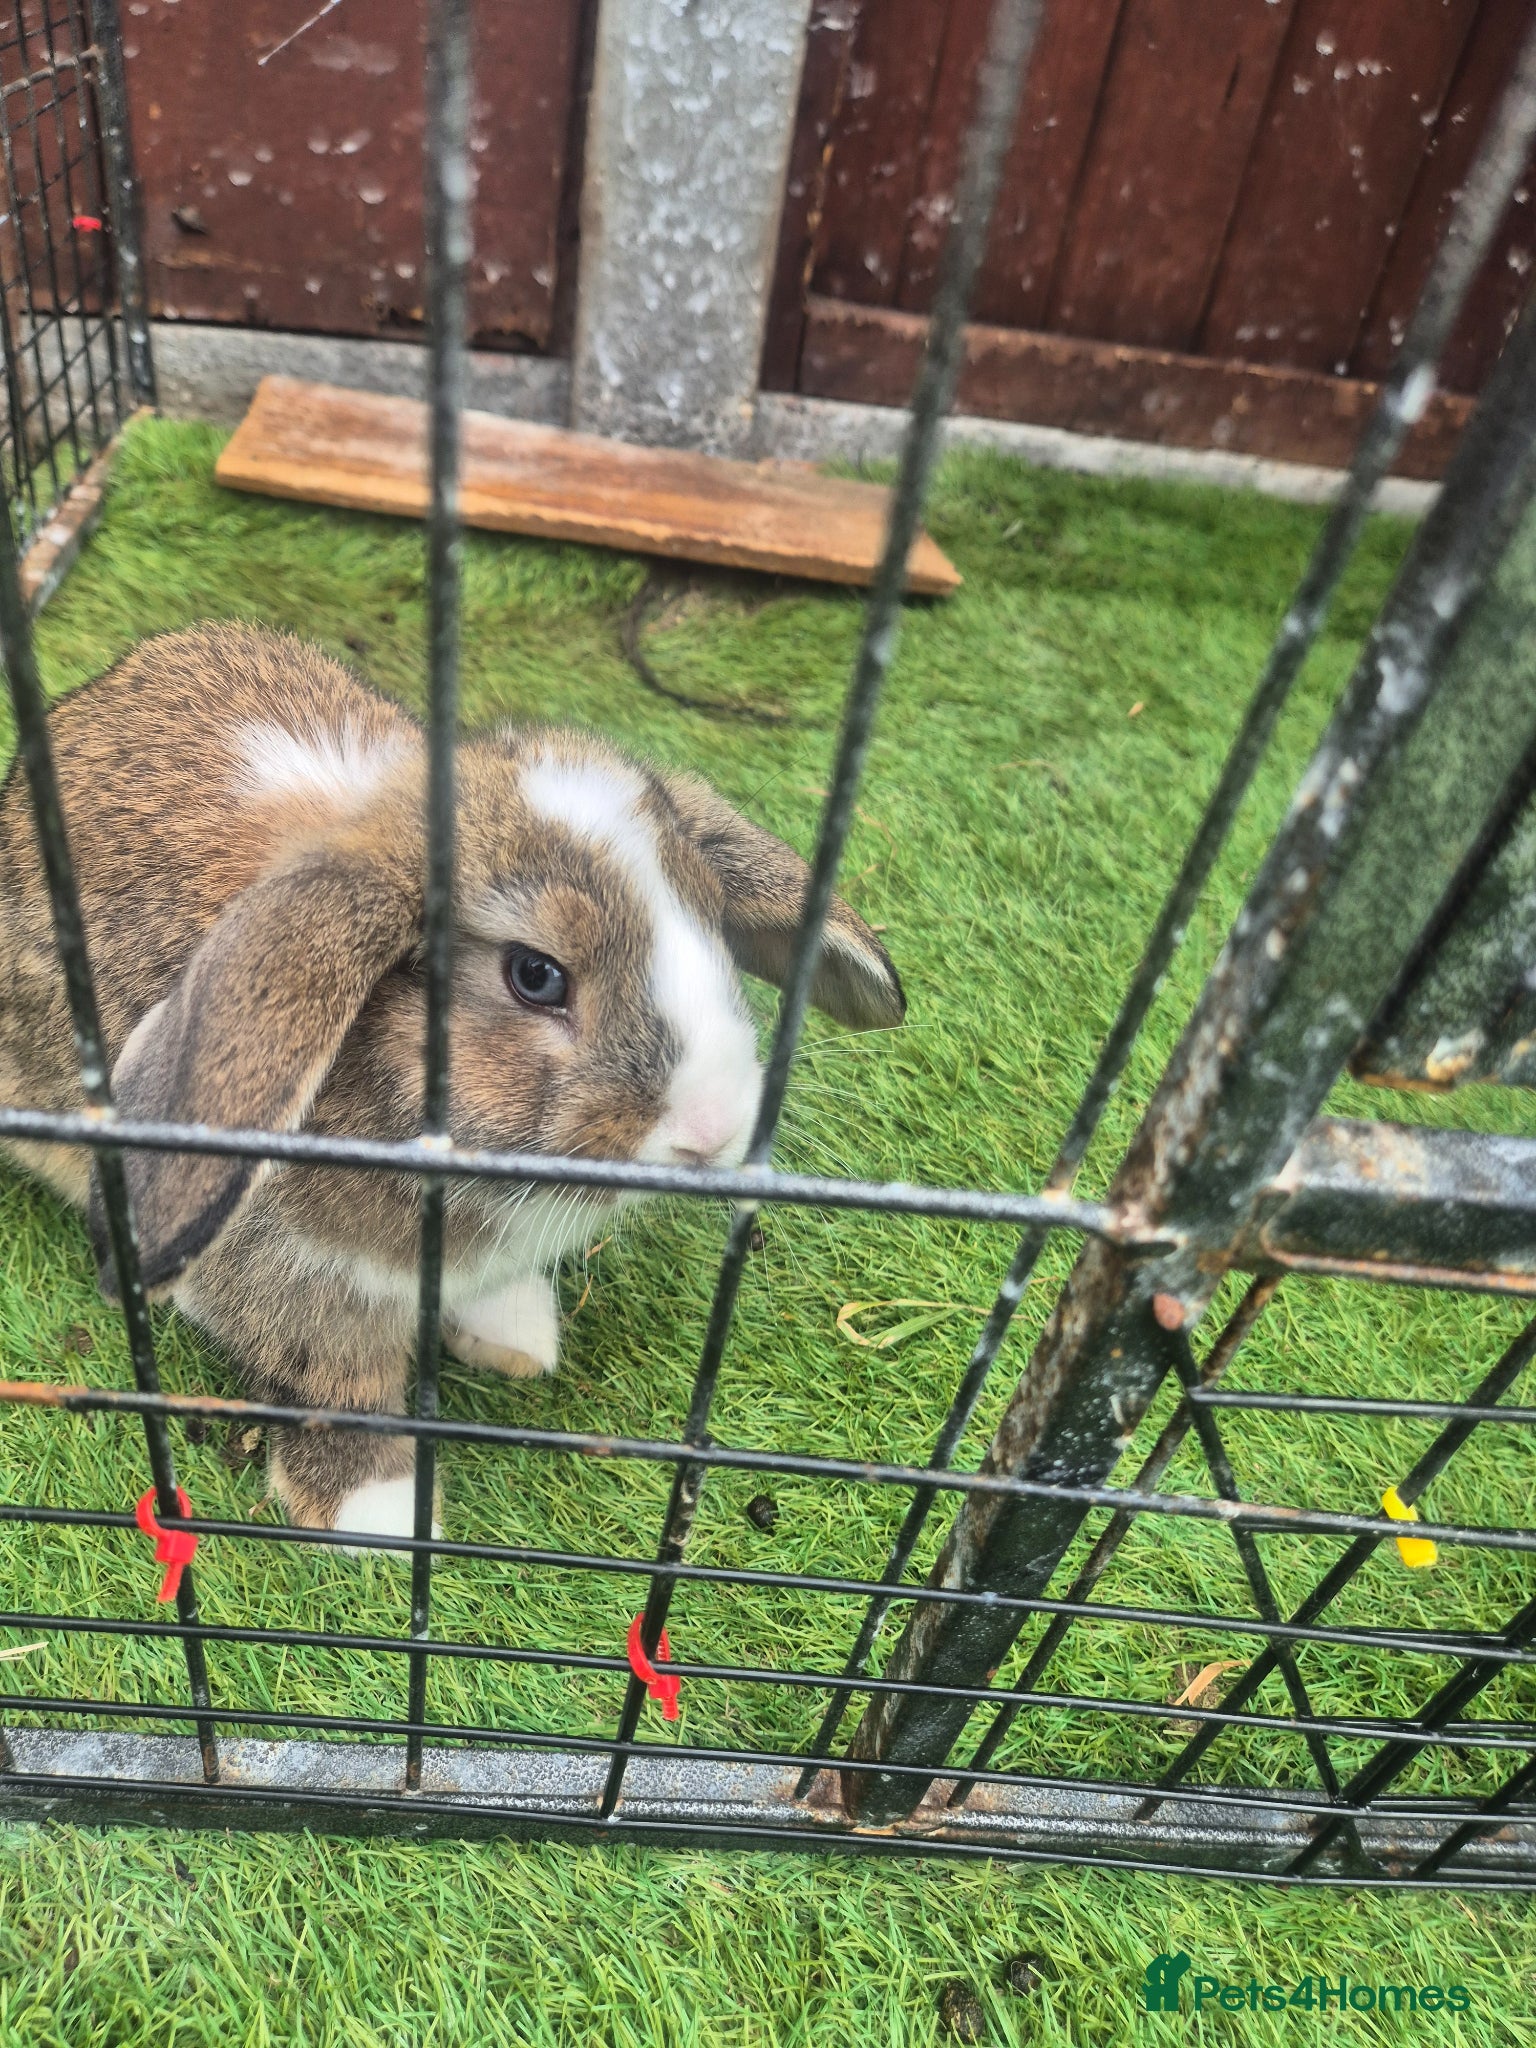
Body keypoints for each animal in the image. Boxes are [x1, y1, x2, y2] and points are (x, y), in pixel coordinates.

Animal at [0, 623, 904, 1540]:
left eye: (712, 927)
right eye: (535, 976)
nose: (712, 1128)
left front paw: (516, 1334)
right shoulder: (285, 1280)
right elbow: (333, 1379)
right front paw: (380, 1510)